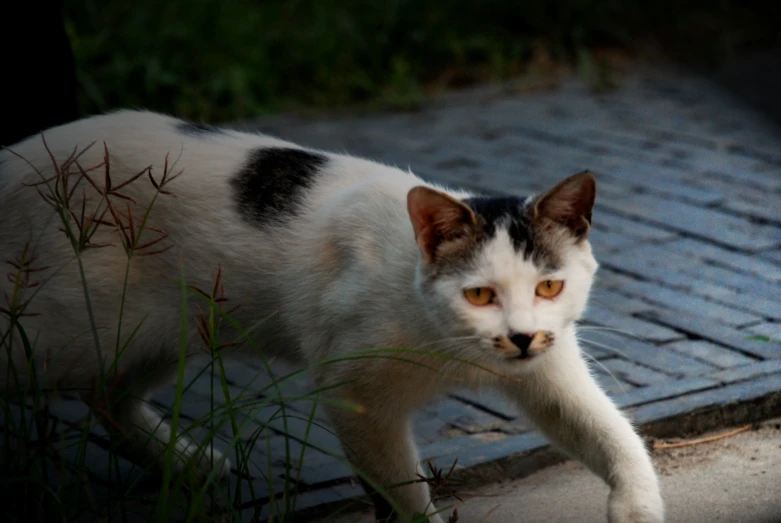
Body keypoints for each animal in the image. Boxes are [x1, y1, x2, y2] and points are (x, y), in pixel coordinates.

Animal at [1, 111, 664, 523]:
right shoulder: (357, 397)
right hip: (64, 329)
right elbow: (402, 492)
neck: (450, 348)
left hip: (158, 332)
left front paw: (638, 507)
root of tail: (15, 157)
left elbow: (615, 435)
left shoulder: (551, 368)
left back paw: (190, 465)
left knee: (107, 395)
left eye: (550, 285)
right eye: (479, 295)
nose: (521, 336)